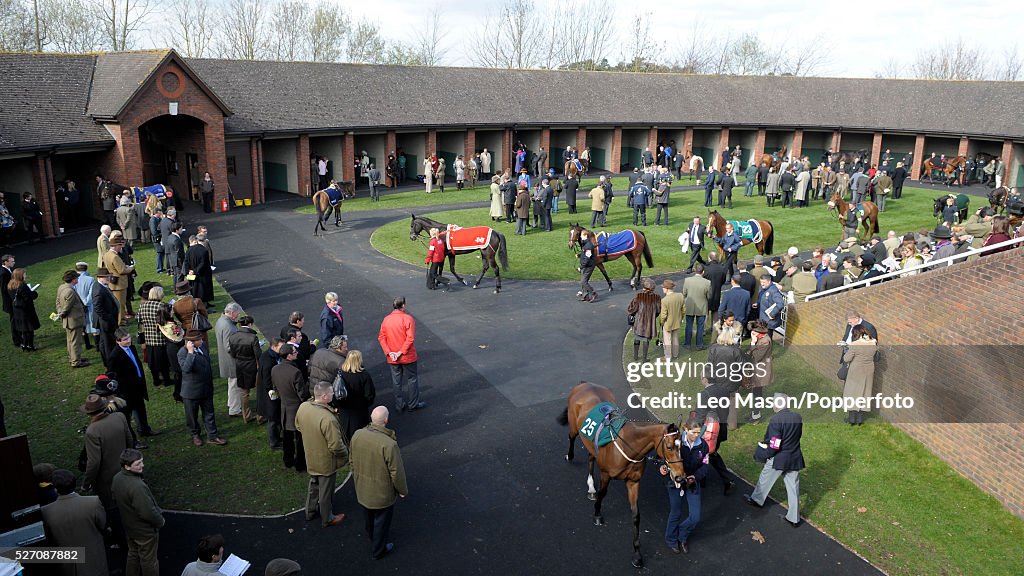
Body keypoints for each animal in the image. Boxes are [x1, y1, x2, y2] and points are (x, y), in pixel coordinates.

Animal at [561, 381, 688, 565]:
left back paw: (591, 487)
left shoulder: (633, 481)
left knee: (591, 456)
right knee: (571, 437)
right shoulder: (606, 473)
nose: (680, 477)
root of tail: (584, 384)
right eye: (670, 447)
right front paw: (597, 514)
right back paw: (570, 456)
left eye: (683, 446)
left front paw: (637, 554)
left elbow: (636, 516)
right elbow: (603, 494)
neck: (628, 446)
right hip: (574, 426)